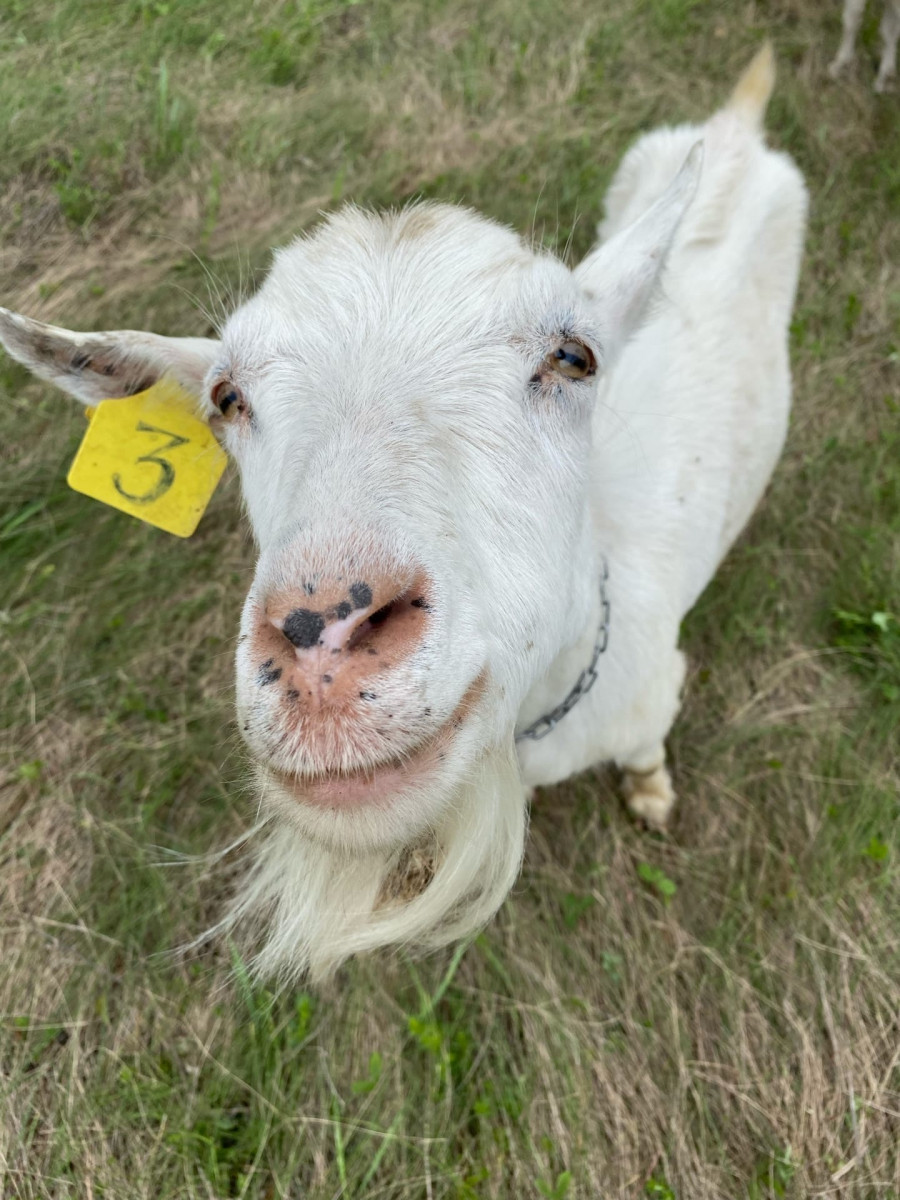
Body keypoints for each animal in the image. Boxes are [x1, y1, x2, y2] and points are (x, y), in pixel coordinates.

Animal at [0, 45, 807, 984]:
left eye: (575, 357)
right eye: (226, 398)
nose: (323, 646)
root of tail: (737, 128)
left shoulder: (654, 693)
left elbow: (645, 755)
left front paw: (649, 792)